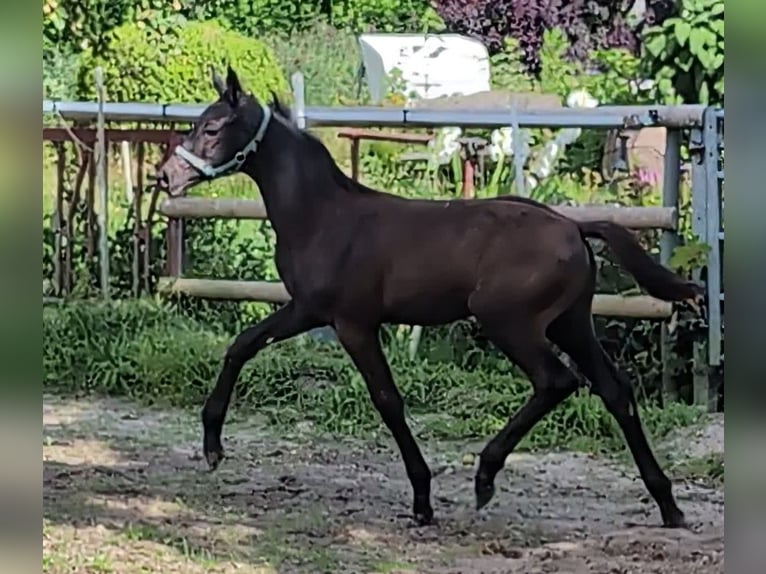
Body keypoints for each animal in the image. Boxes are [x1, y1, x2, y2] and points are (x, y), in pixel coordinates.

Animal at [159, 65, 704, 528]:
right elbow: (242, 345)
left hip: (509, 321)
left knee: (557, 381)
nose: (167, 176)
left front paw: (422, 499)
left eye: (212, 128)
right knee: (615, 390)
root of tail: (573, 225)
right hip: (571, 322)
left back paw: (486, 476)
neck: (324, 215)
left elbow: (387, 399)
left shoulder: (354, 323)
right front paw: (212, 445)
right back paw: (668, 504)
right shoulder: (307, 310)